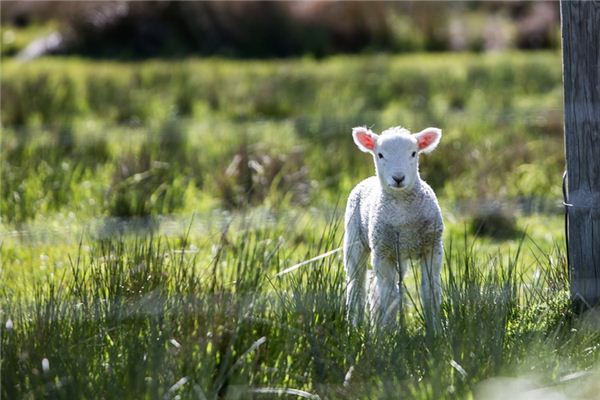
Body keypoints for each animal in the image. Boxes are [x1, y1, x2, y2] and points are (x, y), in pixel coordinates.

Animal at [344, 125, 442, 328]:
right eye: (380, 154)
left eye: (413, 153)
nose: (398, 178)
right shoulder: (383, 252)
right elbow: (388, 297)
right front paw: (387, 332)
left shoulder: (432, 247)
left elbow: (430, 292)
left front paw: (436, 329)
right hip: (355, 240)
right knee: (357, 285)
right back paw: (355, 326)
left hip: (399, 254)